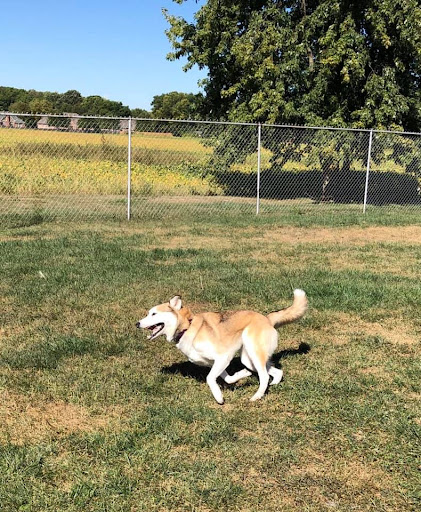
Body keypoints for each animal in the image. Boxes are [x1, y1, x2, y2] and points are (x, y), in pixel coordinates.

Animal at [136, 288, 306, 404]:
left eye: (154, 314)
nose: (137, 324)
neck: (187, 327)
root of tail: (266, 318)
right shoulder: (216, 362)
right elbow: (228, 378)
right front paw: (243, 375)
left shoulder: (224, 356)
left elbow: (210, 378)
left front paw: (219, 398)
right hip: (248, 358)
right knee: (275, 372)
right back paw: (272, 384)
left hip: (253, 353)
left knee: (264, 376)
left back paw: (256, 396)